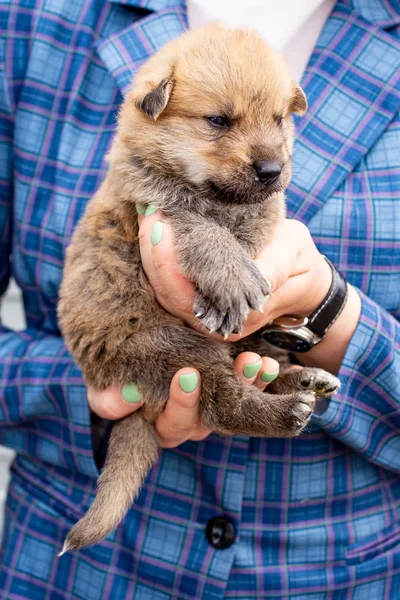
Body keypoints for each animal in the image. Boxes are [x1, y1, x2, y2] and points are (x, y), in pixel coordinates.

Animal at [57, 25, 340, 556]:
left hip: (236, 346)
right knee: (226, 402)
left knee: (263, 369)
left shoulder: (265, 212)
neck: (216, 197)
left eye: (279, 119)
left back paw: (305, 380)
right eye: (218, 120)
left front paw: (232, 286)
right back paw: (284, 411)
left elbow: (250, 233)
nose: (271, 169)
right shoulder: (158, 207)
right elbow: (204, 230)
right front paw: (227, 282)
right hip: (175, 350)